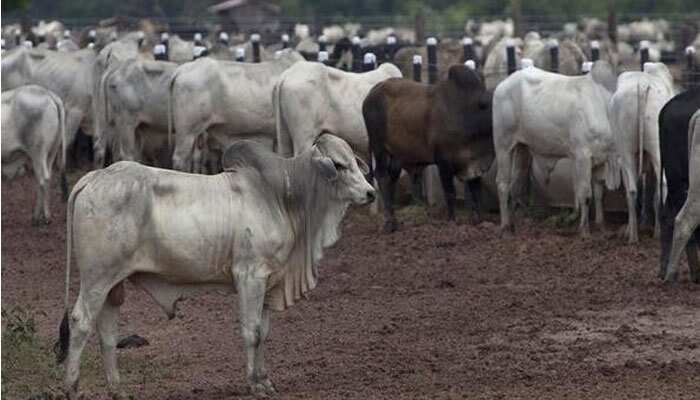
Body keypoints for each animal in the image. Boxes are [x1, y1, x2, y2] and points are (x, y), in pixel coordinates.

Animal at [1, 85, 66, 224]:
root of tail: (47, 93)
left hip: (38, 153)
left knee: (43, 179)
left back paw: (41, 217)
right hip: (51, 152)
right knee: (45, 179)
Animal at [54, 134, 375, 399]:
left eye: (354, 161)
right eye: (339, 165)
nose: (371, 192)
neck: (281, 197)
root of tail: (95, 176)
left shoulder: (269, 280)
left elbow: (264, 332)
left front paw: (265, 379)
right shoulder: (250, 276)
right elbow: (251, 331)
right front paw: (254, 384)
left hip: (114, 284)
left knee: (107, 332)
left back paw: (117, 389)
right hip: (97, 278)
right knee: (81, 321)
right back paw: (72, 387)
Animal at [363, 64, 493, 232]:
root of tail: (371, 93)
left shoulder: (475, 166)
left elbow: (477, 195)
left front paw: (480, 222)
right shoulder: (443, 162)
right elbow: (450, 193)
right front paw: (452, 222)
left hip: (396, 156)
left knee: (392, 179)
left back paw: (394, 221)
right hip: (379, 147)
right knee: (382, 177)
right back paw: (389, 223)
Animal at [493, 61, 620, 237]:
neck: (604, 105)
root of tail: (504, 84)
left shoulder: (600, 160)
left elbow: (599, 194)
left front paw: (601, 226)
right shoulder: (582, 156)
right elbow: (585, 193)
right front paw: (584, 231)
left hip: (522, 148)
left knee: (516, 185)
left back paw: (514, 225)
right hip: (503, 145)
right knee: (502, 184)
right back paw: (505, 226)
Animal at [609, 62, 676, 243]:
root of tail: (643, 84)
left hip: (627, 151)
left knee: (633, 190)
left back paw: (633, 236)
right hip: (655, 149)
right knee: (660, 187)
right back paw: (656, 233)